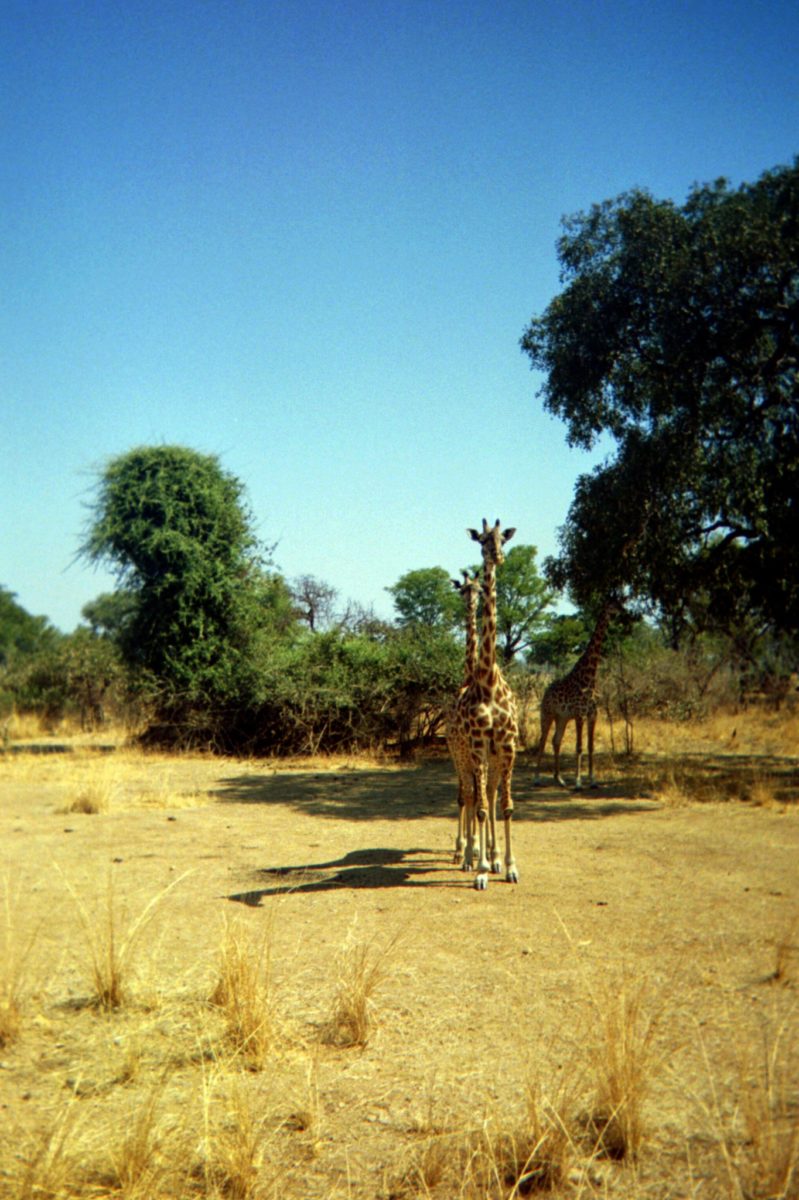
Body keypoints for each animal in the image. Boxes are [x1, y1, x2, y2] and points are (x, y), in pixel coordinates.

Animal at [532, 597, 619, 787]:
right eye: (610, 604)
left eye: (619, 602)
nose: (619, 611)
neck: (589, 677)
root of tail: (545, 692)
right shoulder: (580, 715)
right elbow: (579, 747)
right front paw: (578, 781)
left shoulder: (593, 714)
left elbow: (591, 747)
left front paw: (592, 780)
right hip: (547, 714)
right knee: (542, 741)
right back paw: (537, 778)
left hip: (562, 718)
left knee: (555, 741)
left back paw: (559, 778)